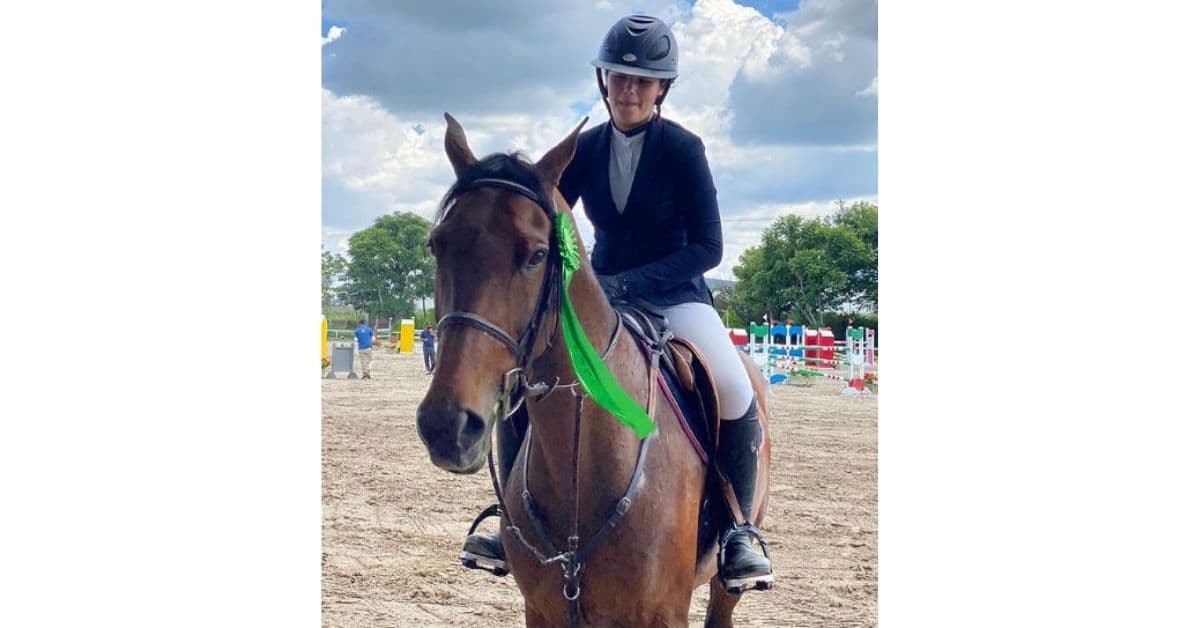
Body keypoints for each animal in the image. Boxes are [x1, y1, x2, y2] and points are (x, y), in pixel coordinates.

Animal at [415, 113, 772, 627]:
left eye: (537, 255)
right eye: (436, 245)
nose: (447, 425)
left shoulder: (663, 613)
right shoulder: (543, 611)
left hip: (728, 580)